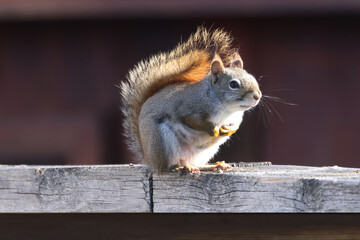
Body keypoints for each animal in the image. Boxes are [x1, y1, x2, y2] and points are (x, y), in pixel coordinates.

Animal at [121, 26, 262, 172]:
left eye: (252, 78)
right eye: (233, 84)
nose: (257, 96)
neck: (228, 109)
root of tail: (149, 159)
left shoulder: (236, 118)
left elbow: (235, 125)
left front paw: (230, 130)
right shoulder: (189, 107)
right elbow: (192, 120)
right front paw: (213, 129)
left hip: (203, 153)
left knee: (194, 163)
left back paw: (212, 165)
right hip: (162, 142)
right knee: (168, 166)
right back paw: (180, 168)